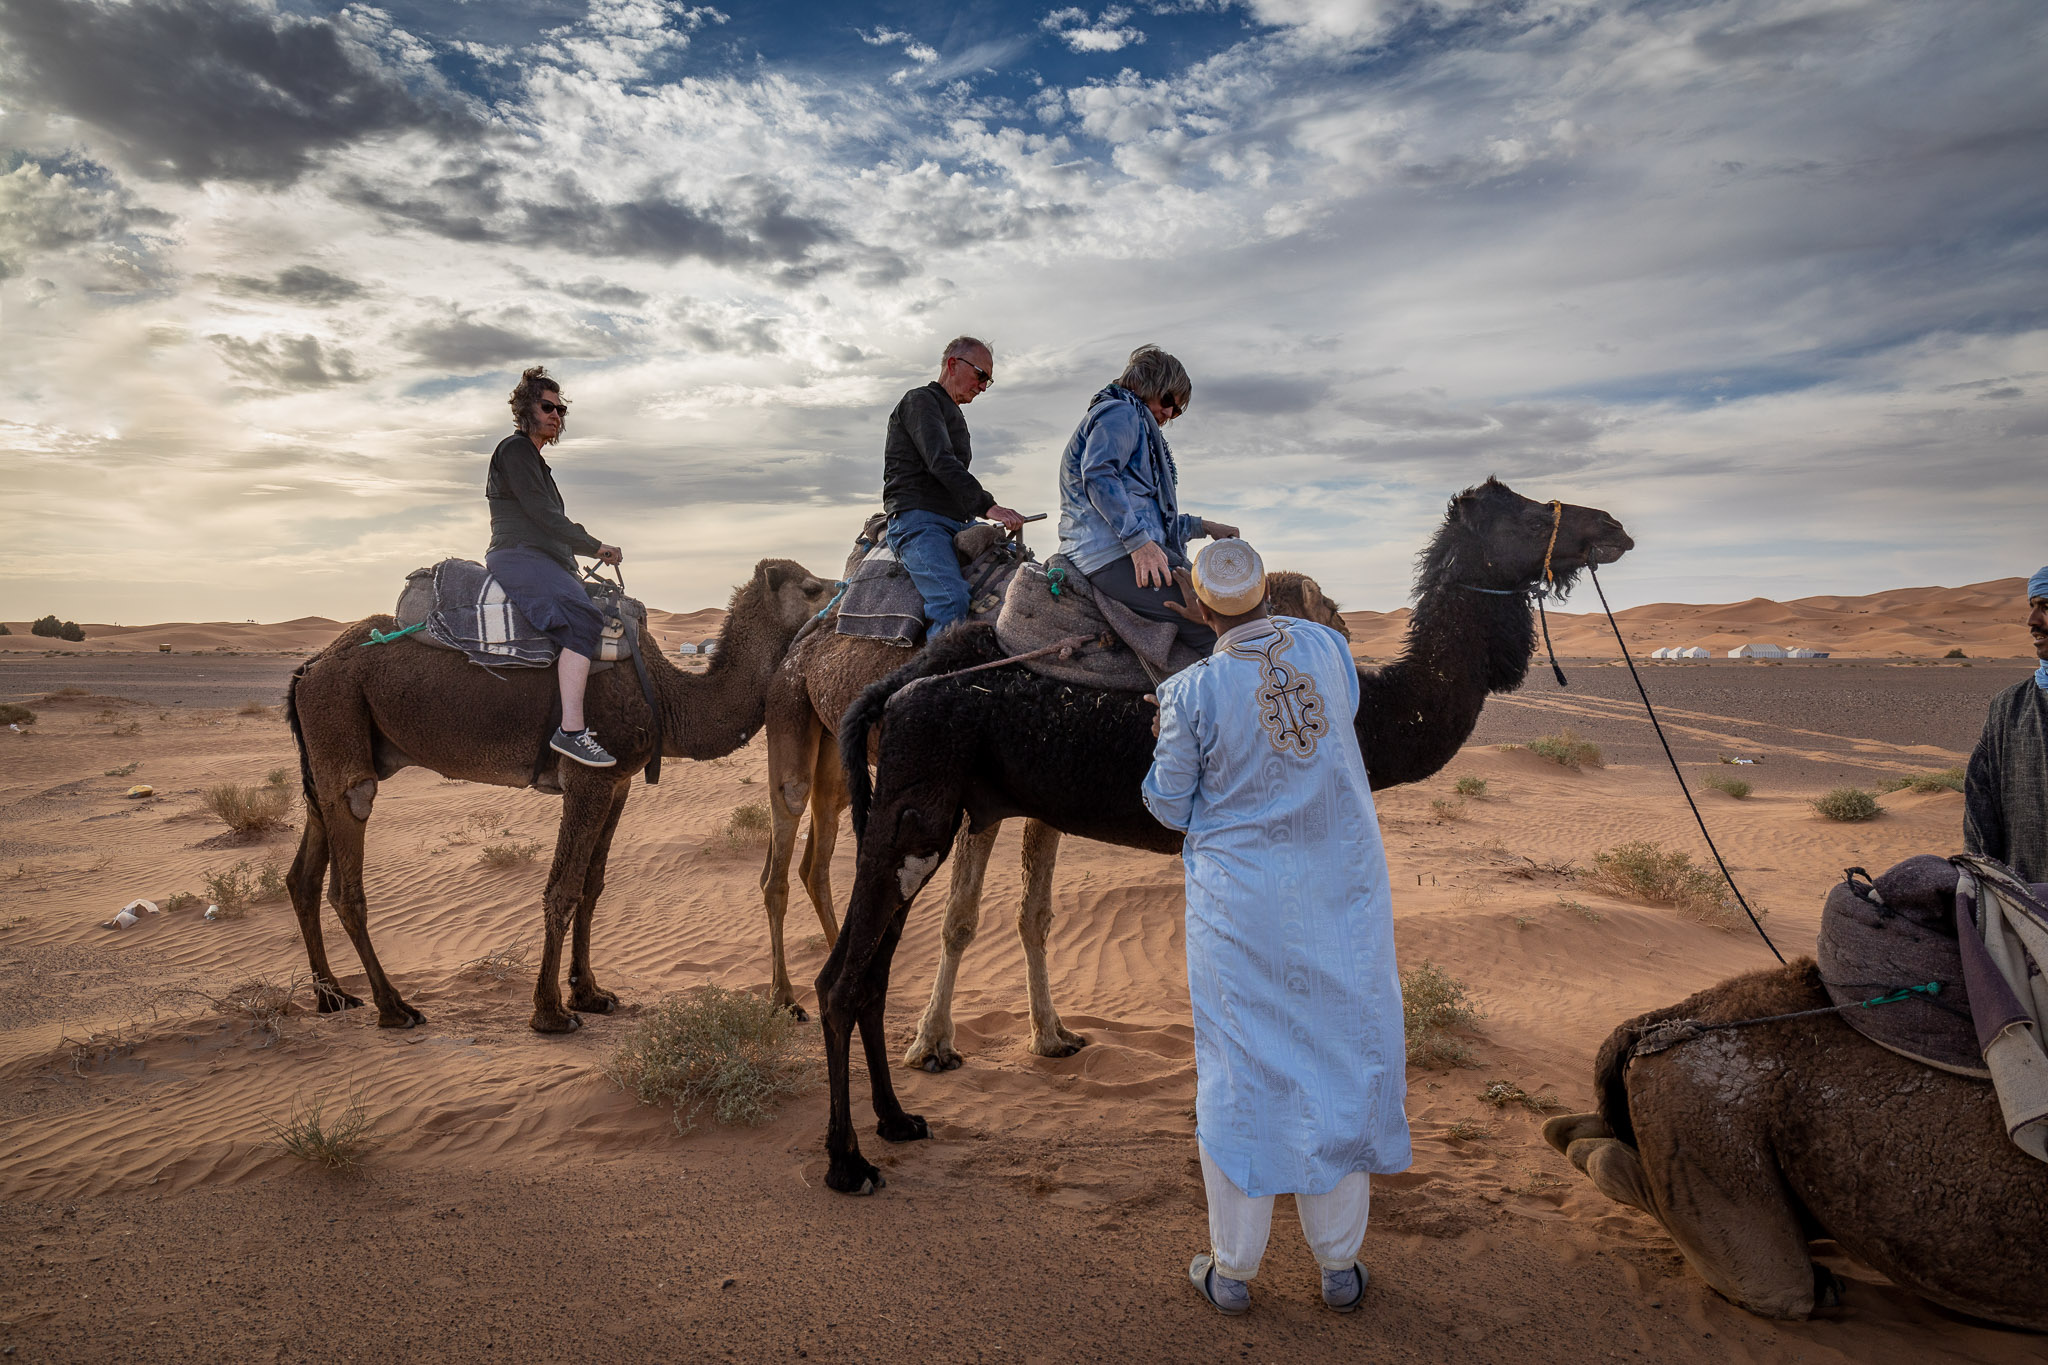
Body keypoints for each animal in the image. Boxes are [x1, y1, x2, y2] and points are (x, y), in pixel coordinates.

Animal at [284, 560, 835, 1031]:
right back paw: (394, 1008)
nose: (840, 600)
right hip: (341, 730)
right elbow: (562, 890)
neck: (666, 696)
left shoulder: (617, 782)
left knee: (303, 877)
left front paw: (590, 994)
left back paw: (332, 997)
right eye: (811, 587)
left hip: (325, 764)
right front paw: (550, 1013)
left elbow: (592, 887)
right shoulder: (586, 779)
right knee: (347, 874)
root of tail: (310, 666)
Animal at [761, 568, 1351, 1064]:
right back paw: (787, 997)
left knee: (821, 853)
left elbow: (1034, 915)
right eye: (1326, 604)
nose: (1345, 631)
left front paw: (1051, 1035)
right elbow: (960, 918)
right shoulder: (980, 804)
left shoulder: (1045, 803)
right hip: (795, 716)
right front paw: (932, 1043)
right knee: (786, 842)